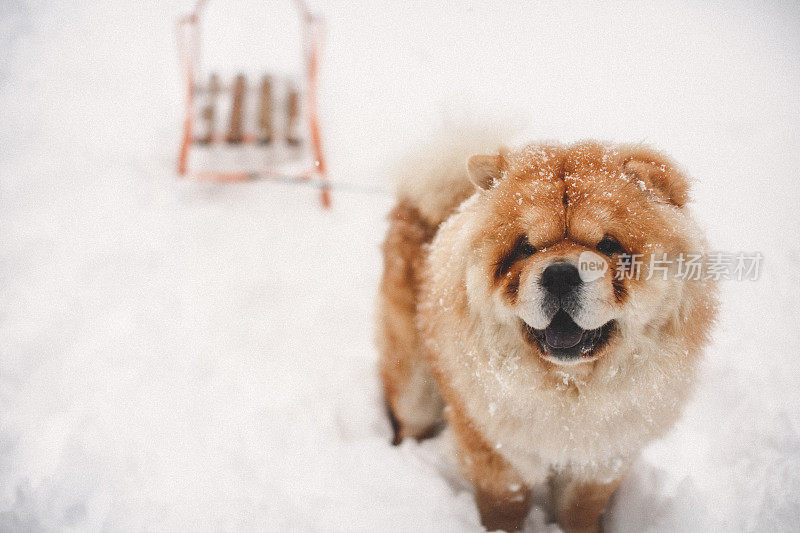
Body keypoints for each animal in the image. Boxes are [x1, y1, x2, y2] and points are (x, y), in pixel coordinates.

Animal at [376, 130, 720, 532]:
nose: (559, 274)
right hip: (414, 384)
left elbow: (579, 510)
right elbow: (505, 505)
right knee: (409, 416)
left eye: (608, 245)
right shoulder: (496, 449)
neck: (567, 389)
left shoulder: (602, 457)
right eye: (525, 247)